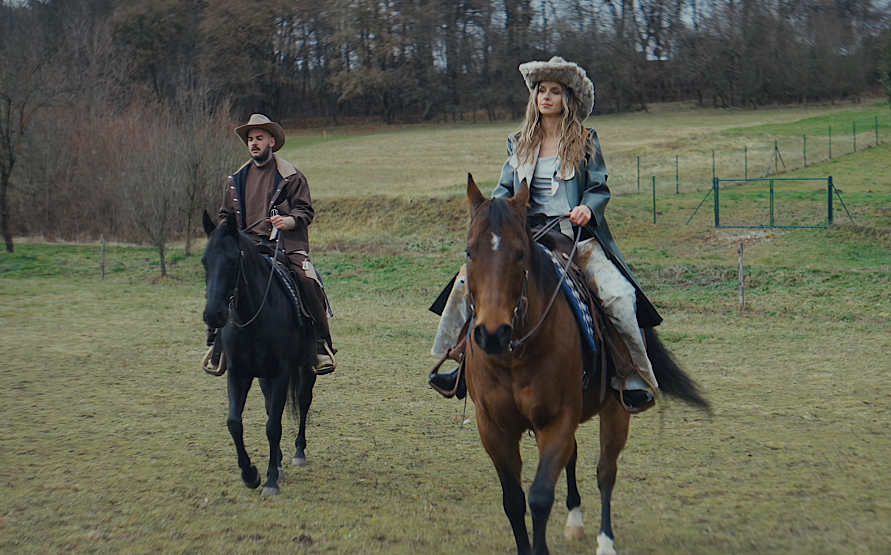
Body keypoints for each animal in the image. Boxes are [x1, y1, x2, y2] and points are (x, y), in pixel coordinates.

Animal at [464, 175, 708, 555]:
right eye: (469, 252)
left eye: (520, 254)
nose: (491, 334)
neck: (514, 355)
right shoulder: (493, 428)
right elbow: (514, 501)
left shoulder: (557, 419)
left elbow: (539, 497)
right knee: (574, 457)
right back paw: (575, 520)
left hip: (616, 408)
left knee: (605, 471)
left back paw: (605, 541)